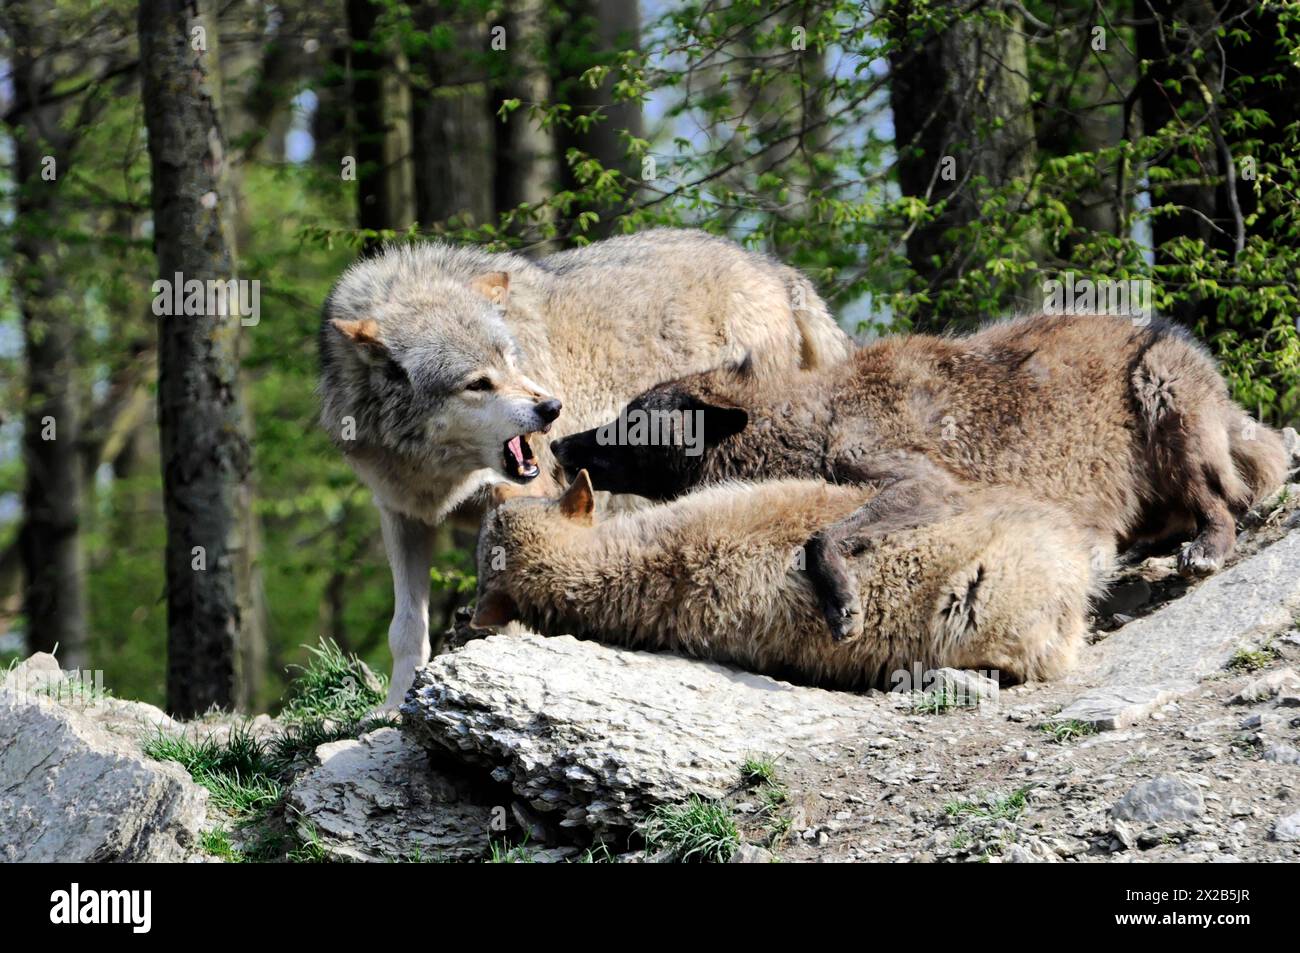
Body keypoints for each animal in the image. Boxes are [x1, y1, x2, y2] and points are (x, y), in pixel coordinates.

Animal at [319, 228, 852, 706]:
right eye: (477, 383)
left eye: (512, 361)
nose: (551, 407)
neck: (440, 469)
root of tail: (778, 271)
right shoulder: (401, 514)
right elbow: (405, 629)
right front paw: (391, 709)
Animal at [552, 312, 1287, 641]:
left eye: (632, 421)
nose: (558, 439)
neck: (811, 420)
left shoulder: (925, 485)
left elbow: (821, 538)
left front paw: (842, 604)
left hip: (1163, 391)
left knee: (1226, 502)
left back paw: (1204, 548)